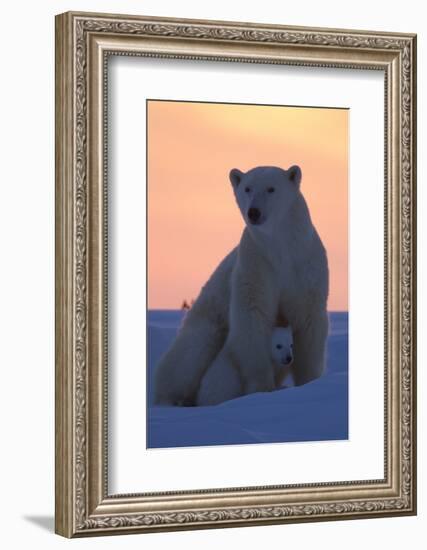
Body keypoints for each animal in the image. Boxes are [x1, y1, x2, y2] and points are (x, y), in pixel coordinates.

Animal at [152, 166, 330, 408]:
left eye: (271, 188)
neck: (282, 249)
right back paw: (171, 400)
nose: (253, 212)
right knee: (188, 358)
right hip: (206, 322)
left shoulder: (304, 266)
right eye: (247, 188)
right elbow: (252, 318)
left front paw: (309, 383)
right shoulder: (256, 263)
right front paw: (262, 388)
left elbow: (309, 322)